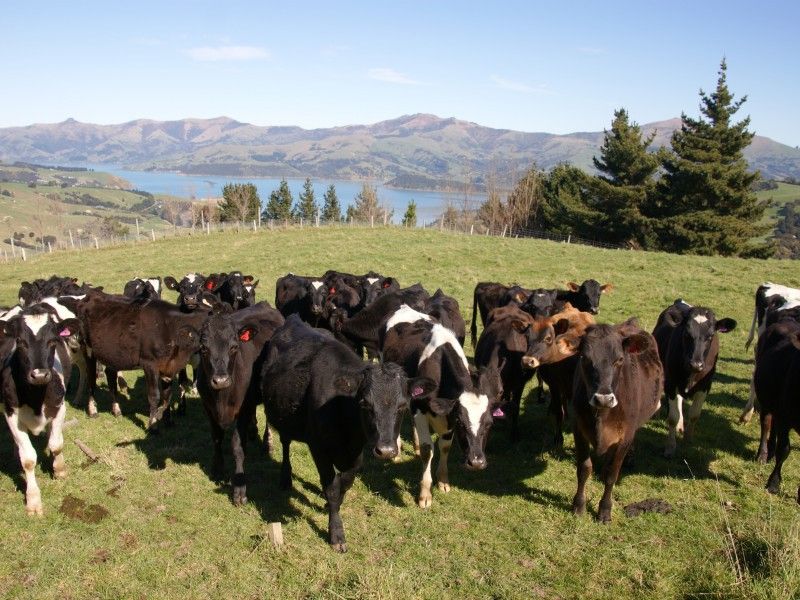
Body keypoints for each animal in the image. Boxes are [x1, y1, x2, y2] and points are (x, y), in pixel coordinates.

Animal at [0, 308, 80, 512]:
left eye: (53, 341)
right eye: (20, 341)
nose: (40, 375)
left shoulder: (59, 407)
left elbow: (56, 444)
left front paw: (59, 470)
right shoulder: (11, 412)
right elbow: (28, 458)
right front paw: (33, 500)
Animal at [197, 302, 284, 504]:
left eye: (234, 347)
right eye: (203, 348)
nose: (221, 380)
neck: (221, 398)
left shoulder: (242, 410)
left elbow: (237, 446)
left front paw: (239, 489)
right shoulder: (208, 408)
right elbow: (216, 437)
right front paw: (217, 468)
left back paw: (266, 443)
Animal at [262, 316, 434, 552]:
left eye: (402, 406)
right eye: (365, 403)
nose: (386, 451)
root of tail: (294, 319)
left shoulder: (356, 453)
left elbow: (345, 482)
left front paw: (331, 501)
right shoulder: (319, 448)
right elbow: (332, 488)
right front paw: (336, 533)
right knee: (285, 443)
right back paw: (285, 478)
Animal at [576, 322, 664, 524]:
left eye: (619, 359)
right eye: (584, 357)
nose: (603, 398)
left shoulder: (625, 438)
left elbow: (612, 475)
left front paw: (604, 510)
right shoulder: (579, 430)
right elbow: (584, 469)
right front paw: (578, 505)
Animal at [648, 300, 736, 460]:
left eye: (710, 336)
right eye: (687, 334)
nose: (696, 364)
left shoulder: (705, 386)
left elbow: (694, 414)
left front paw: (688, 440)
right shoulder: (671, 384)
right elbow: (673, 417)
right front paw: (670, 447)